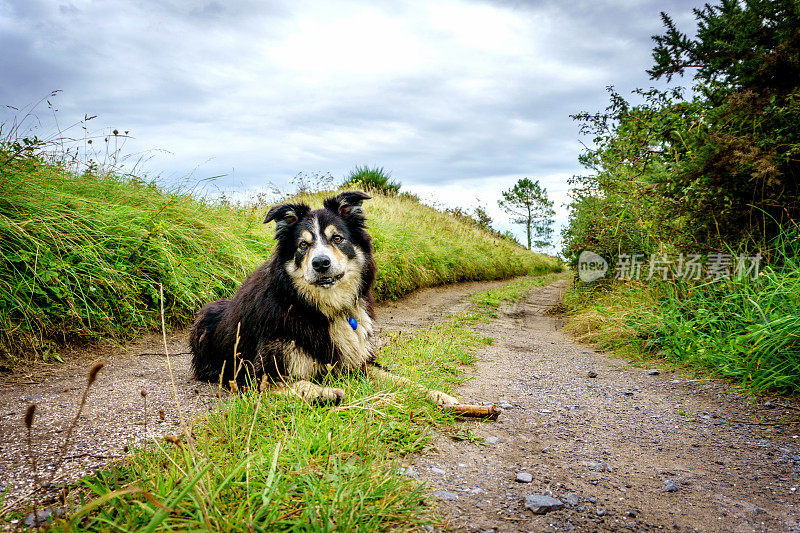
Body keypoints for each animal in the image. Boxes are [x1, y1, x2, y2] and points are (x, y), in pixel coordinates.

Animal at [188, 191, 460, 404]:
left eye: (337, 238)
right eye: (303, 245)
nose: (321, 263)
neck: (319, 307)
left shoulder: (358, 362)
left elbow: (400, 379)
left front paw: (437, 394)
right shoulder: (254, 374)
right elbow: (296, 383)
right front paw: (323, 392)